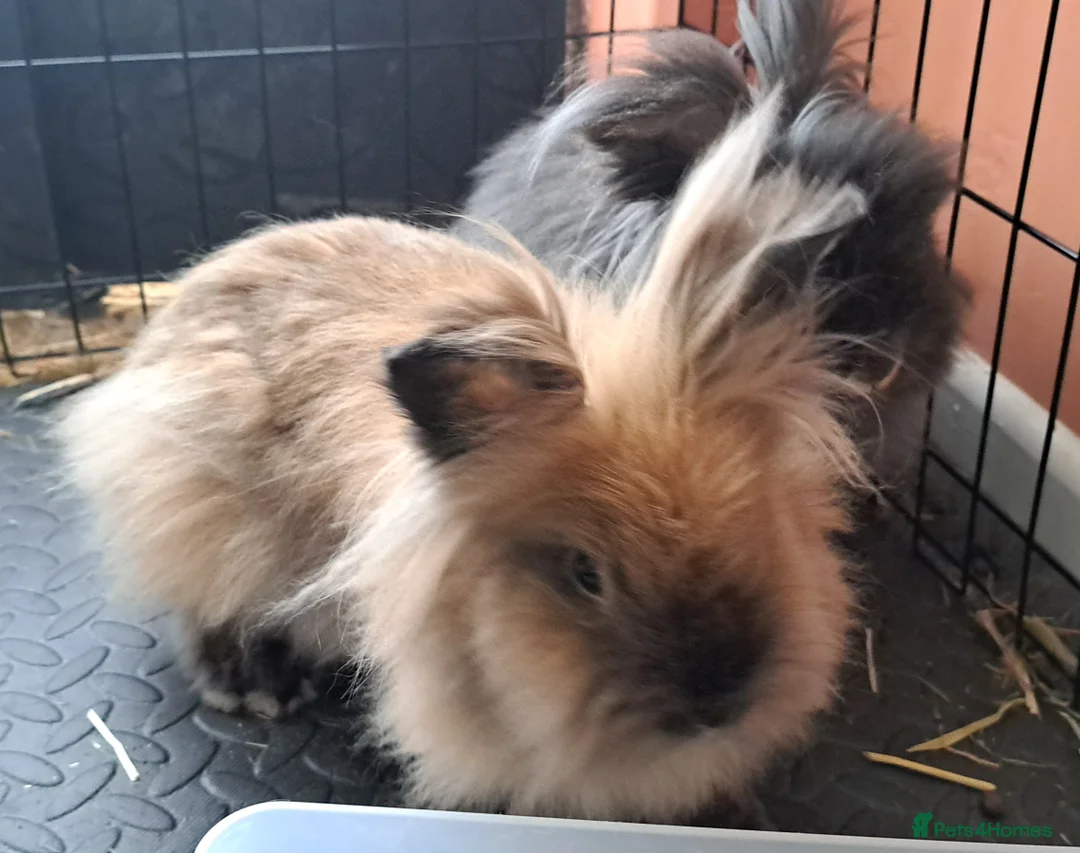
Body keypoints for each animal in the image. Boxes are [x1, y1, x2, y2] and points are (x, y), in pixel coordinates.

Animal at [56, 91, 873, 827]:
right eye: (585, 575)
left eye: (760, 525)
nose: (719, 700)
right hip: (202, 520)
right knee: (206, 609)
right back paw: (255, 685)